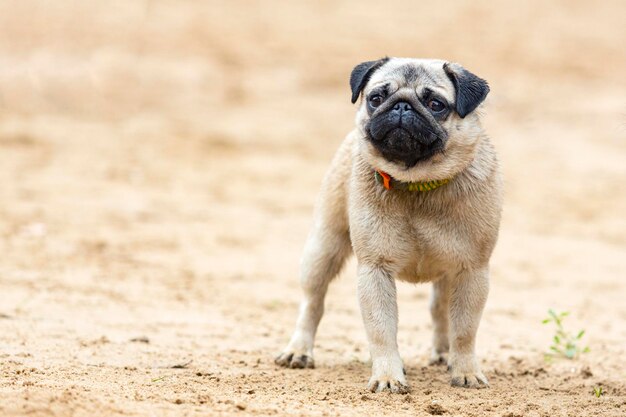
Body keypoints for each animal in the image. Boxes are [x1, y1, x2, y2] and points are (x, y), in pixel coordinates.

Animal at [276, 57, 500, 392]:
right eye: (376, 98)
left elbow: (464, 330)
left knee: (440, 311)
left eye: (436, 104)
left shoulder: (472, 270)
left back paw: (443, 355)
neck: (417, 183)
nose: (401, 106)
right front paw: (387, 376)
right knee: (312, 302)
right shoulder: (375, 269)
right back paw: (299, 350)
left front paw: (466, 371)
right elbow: (381, 330)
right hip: (323, 249)